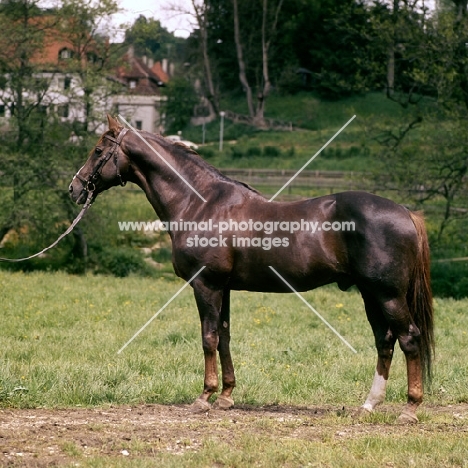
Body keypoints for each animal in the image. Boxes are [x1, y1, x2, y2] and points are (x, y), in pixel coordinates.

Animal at [69, 115, 436, 422]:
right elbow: (225, 337)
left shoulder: (206, 285)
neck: (201, 203)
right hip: (370, 294)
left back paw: (410, 409)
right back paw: (369, 405)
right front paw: (226, 397)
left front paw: (204, 397)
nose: (74, 188)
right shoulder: (224, 288)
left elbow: (208, 337)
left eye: (98, 149)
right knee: (385, 341)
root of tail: (406, 212)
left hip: (387, 295)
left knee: (409, 338)